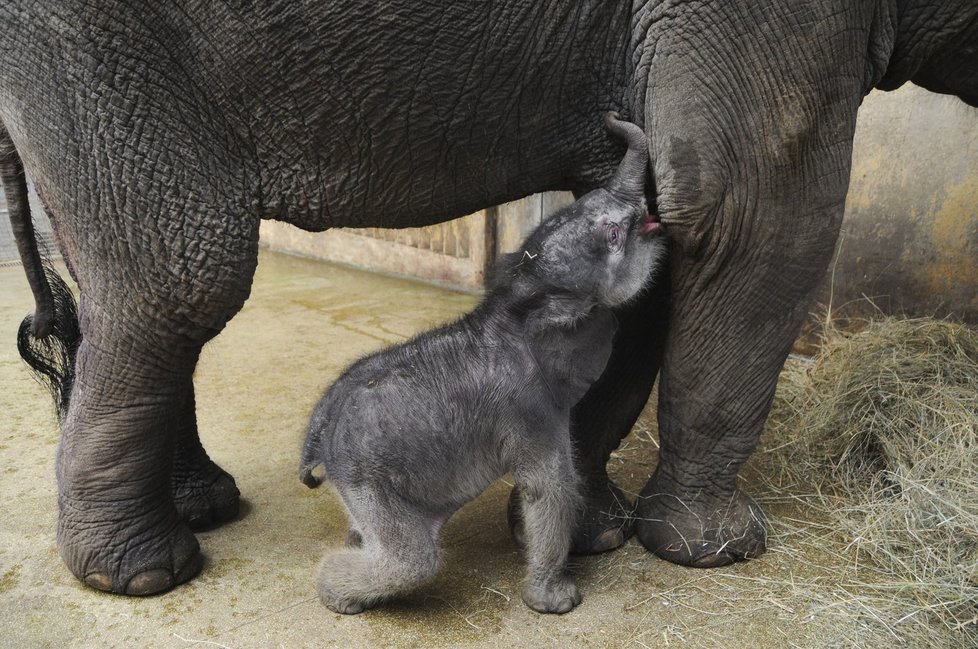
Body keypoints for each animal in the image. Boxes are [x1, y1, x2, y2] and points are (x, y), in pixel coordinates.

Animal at [298, 114, 664, 616]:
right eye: (613, 234)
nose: (610, 119)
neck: (520, 301)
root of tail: (317, 433)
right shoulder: (530, 409)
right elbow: (549, 489)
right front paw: (557, 601)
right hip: (367, 478)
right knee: (409, 561)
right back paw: (338, 597)